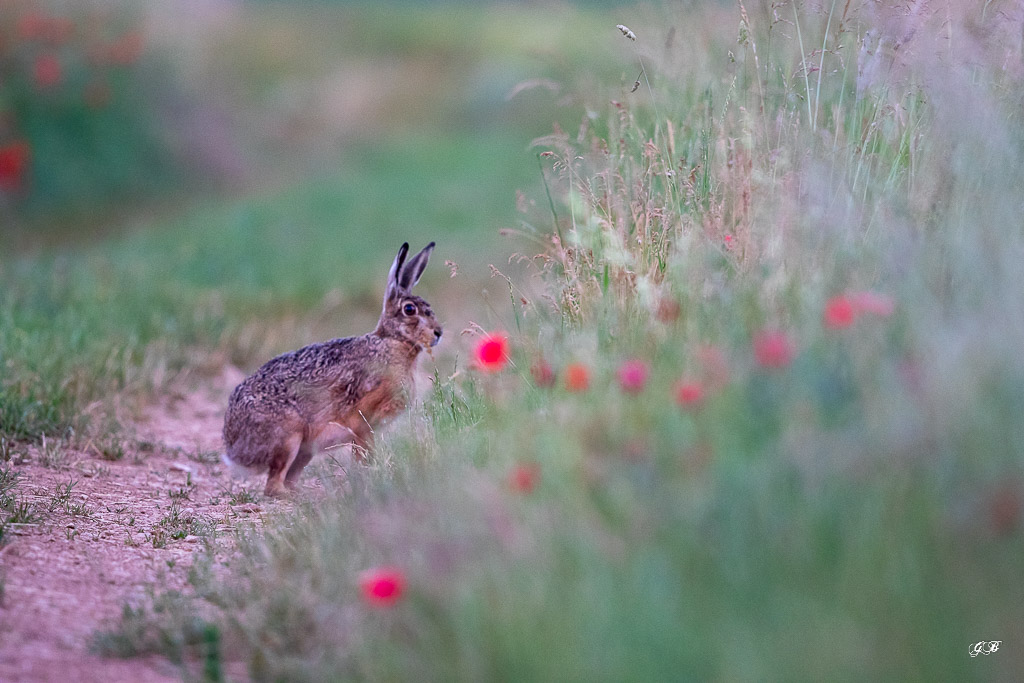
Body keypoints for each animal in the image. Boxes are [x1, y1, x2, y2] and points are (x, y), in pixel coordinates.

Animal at [222, 242, 442, 497]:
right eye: (409, 309)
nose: (438, 332)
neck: (392, 341)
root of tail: (233, 448)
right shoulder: (363, 422)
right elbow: (364, 456)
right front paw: (371, 480)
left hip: (304, 451)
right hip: (288, 437)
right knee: (273, 486)